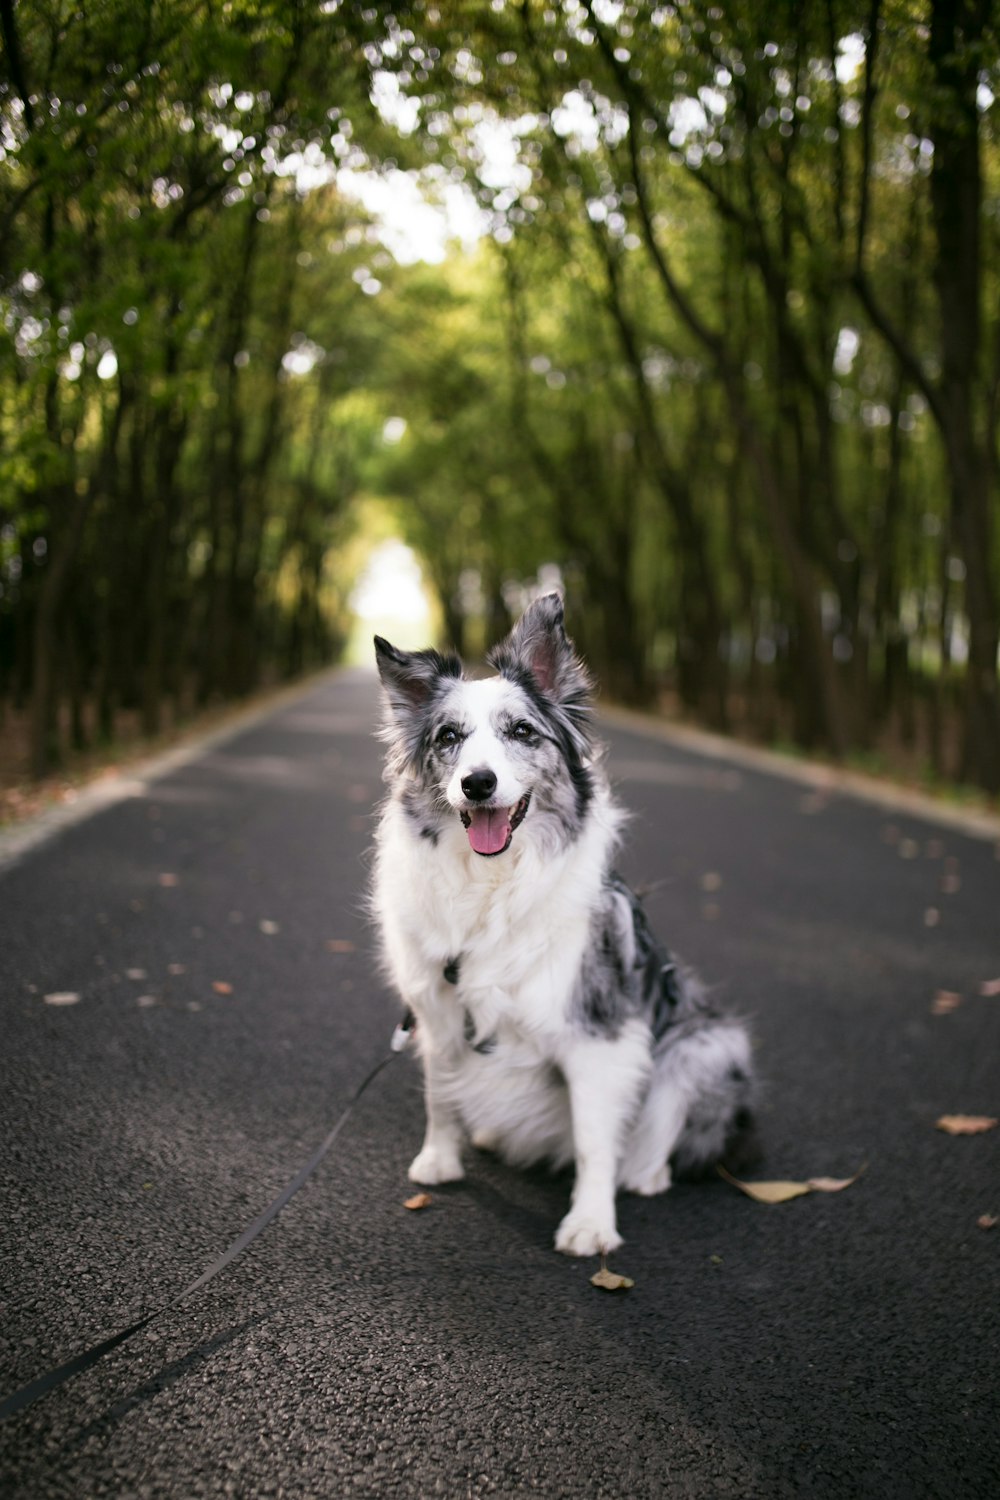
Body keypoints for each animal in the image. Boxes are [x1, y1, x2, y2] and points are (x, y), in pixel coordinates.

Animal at [374, 591, 758, 1260]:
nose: (478, 783)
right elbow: (439, 1095)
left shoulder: (599, 1034)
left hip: (709, 1043)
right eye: (449, 737)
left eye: (522, 732)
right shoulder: (438, 1010)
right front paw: (439, 1160)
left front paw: (591, 1224)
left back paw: (647, 1172)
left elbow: (593, 1140)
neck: (491, 886)